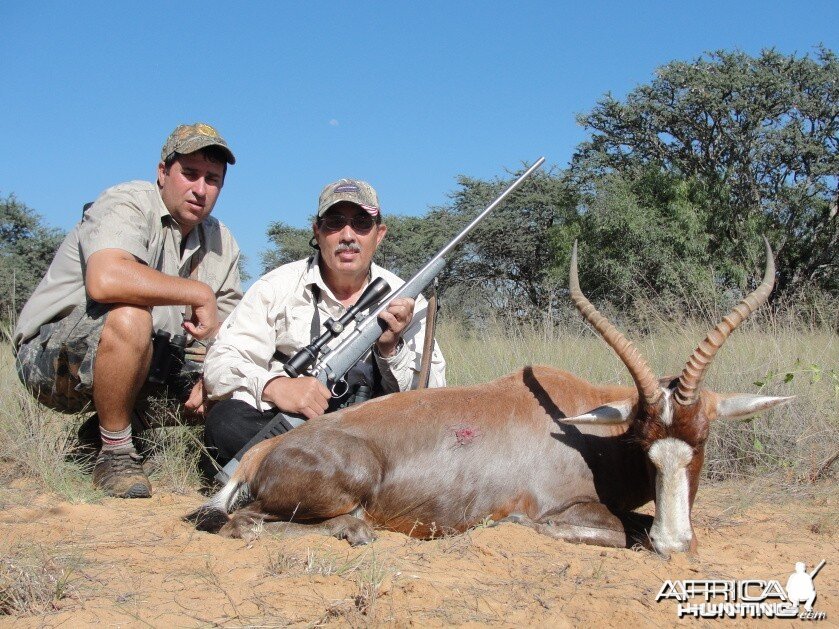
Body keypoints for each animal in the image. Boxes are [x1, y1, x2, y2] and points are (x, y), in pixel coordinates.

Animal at [187, 239, 792, 556]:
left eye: (701, 440)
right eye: (644, 442)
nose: (674, 543)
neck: (587, 434)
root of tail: (262, 455)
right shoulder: (565, 510)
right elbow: (623, 529)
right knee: (247, 522)